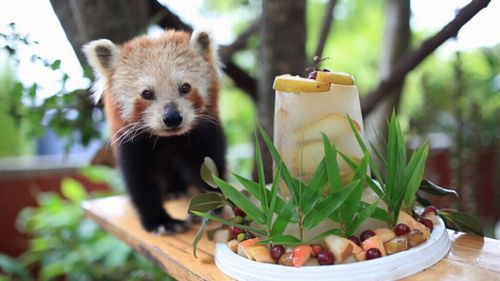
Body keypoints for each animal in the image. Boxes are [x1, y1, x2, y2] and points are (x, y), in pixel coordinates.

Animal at [84, 29, 227, 233]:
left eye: (185, 87)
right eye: (147, 93)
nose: (172, 117)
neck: (168, 138)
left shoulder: (204, 133)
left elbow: (209, 162)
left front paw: (212, 203)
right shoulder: (131, 143)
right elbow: (140, 182)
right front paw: (161, 221)